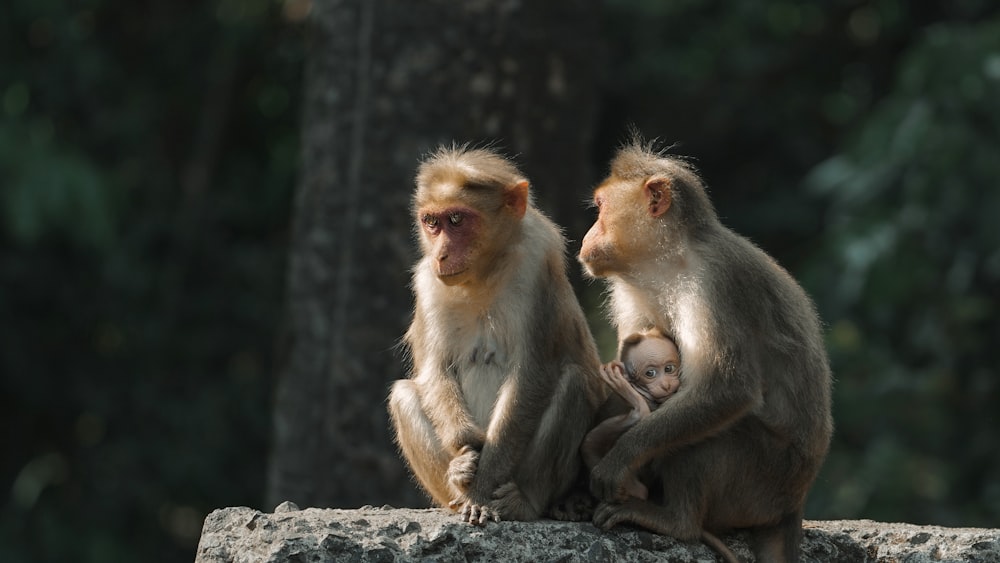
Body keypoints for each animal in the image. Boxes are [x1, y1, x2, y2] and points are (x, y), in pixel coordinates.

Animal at [384, 145, 600, 528]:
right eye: (432, 222)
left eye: (457, 220)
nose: (441, 254)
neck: (483, 274)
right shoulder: (427, 284)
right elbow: (436, 370)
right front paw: (464, 452)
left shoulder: (535, 269)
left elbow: (530, 375)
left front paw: (483, 488)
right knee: (404, 394)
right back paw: (458, 483)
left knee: (574, 383)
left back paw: (526, 502)